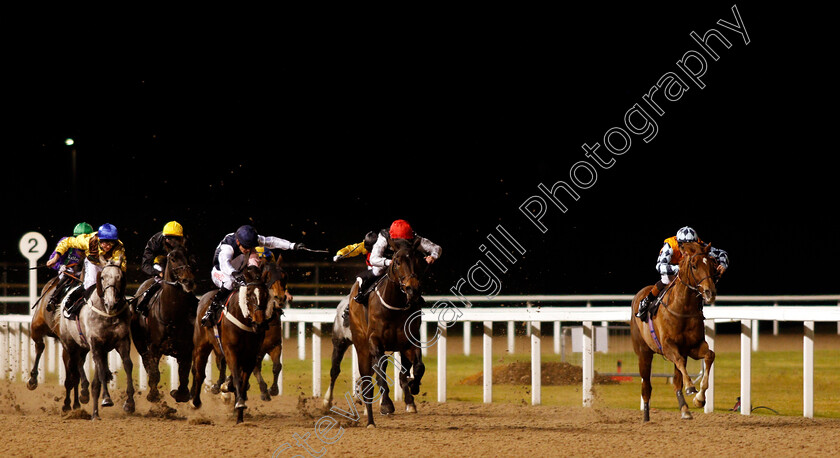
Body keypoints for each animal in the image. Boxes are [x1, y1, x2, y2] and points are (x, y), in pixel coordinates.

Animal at [130, 245, 198, 402]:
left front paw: (180, 393)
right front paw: (153, 395)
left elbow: (184, 374)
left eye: (189, 256)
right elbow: (154, 372)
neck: (172, 315)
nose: (188, 281)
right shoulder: (154, 347)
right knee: (146, 362)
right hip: (139, 342)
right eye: (172, 258)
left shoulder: (186, 349)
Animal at [190, 264, 270, 422]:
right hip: (201, 346)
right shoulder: (231, 351)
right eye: (249, 294)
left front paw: (238, 412)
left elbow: (242, 381)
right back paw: (195, 402)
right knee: (199, 373)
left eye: (266, 295)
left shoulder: (250, 356)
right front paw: (238, 403)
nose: (259, 324)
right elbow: (237, 377)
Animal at [348, 238, 426, 428]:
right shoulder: (375, 342)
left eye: (418, 260)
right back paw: (370, 421)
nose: (412, 289)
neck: (394, 307)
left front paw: (413, 387)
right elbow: (380, 374)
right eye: (397, 261)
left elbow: (418, 367)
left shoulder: (409, 343)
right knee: (368, 383)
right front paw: (386, 404)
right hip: (362, 347)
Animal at [632, 240, 716, 422]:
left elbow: (709, 355)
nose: (710, 292)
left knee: (677, 380)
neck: (682, 308)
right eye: (694, 265)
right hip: (643, 352)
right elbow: (677, 361)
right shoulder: (668, 346)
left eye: (712, 265)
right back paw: (646, 415)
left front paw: (699, 398)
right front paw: (691, 387)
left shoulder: (693, 347)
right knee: (646, 385)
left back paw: (684, 409)